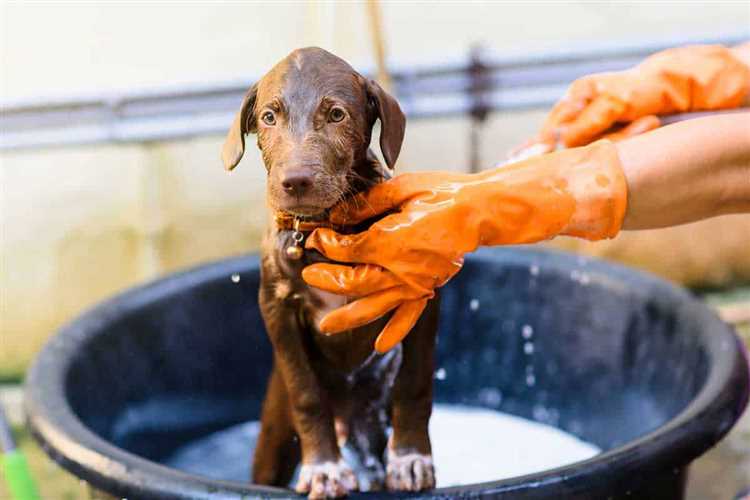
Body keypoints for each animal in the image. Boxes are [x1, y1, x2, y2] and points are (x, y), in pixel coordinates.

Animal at [220, 46, 440, 496]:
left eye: (337, 114)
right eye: (269, 117)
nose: (295, 181)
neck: (326, 227)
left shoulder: (422, 299)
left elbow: (415, 381)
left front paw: (411, 457)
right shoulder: (277, 309)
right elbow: (306, 393)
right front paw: (324, 467)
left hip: (371, 424)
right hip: (275, 435)